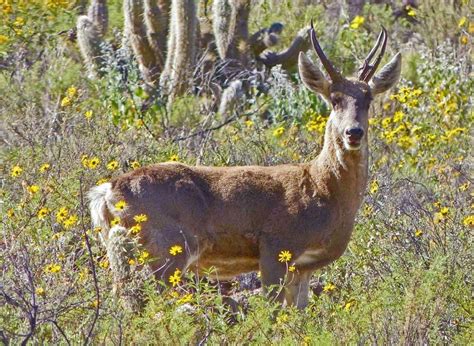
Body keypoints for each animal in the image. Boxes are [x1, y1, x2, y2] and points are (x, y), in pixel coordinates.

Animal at [88, 23, 400, 310]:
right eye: (334, 100)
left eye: (368, 99)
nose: (353, 132)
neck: (322, 187)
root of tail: (107, 192)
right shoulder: (276, 246)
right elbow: (273, 312)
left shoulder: (303, 267)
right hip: (167, 248)